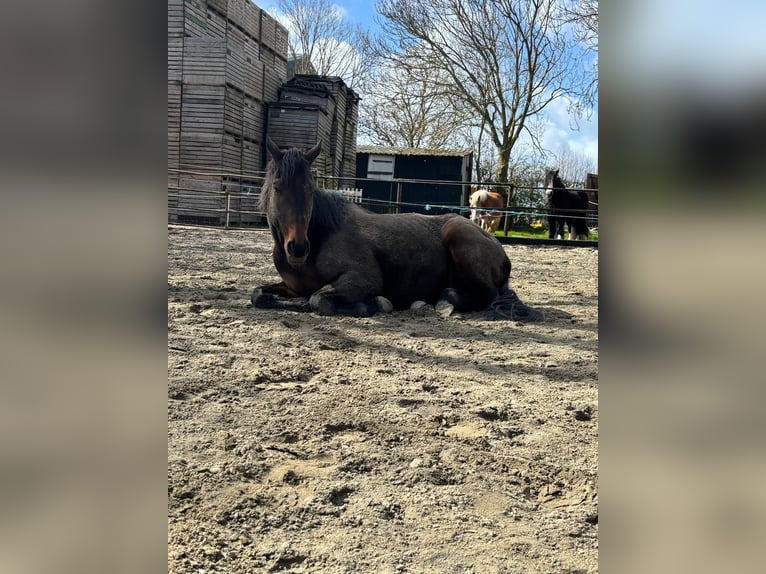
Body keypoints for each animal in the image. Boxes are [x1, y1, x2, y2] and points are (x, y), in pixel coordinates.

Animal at [250, 138, 542, 321]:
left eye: (310, 188)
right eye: (277, 187)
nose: (298, 248)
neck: (321, 237)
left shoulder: (364, 278)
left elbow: (317, 299)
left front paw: (375, 304)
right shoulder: (290, 287)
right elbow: (258, 295)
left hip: (460, 240)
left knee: (486, 296)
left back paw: (442, 302)